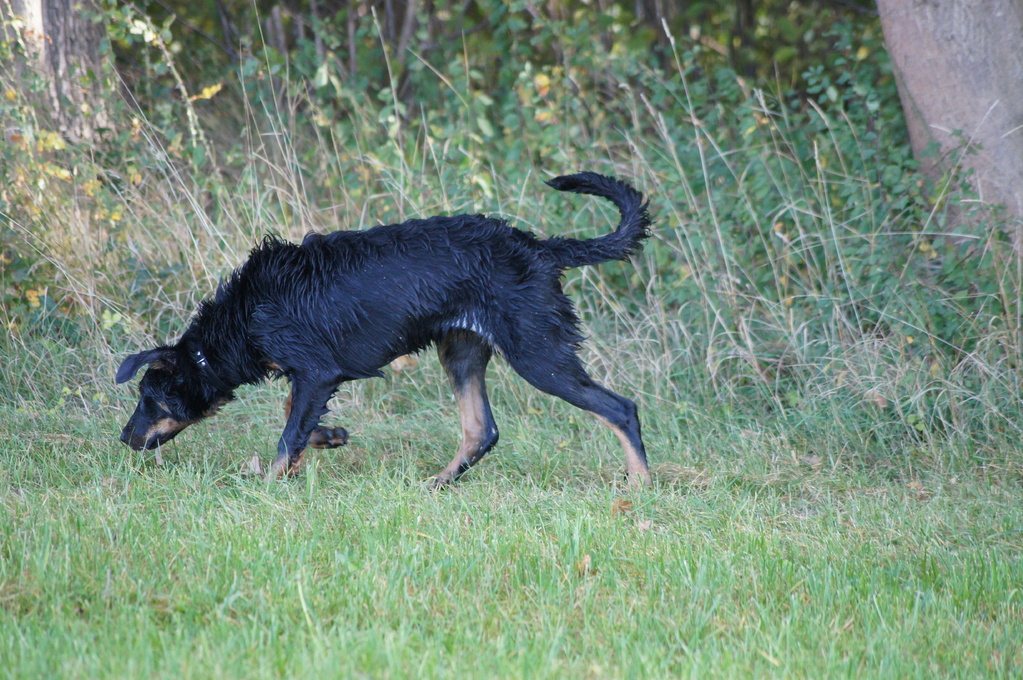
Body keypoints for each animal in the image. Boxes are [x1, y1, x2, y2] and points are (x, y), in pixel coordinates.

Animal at [116, 172, 650, 484]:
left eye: (149, 399)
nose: (124, 438)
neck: (244, 316)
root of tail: (540, 248)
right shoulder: (310, 379)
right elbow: (296, 423)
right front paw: (329, 437)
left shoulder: (316, 371)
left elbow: (286, 437)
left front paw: (267, 485)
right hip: (462, 353)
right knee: (482, 431)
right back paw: (437, 484)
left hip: (538, 354)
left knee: (620, 409)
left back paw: (641, 487)